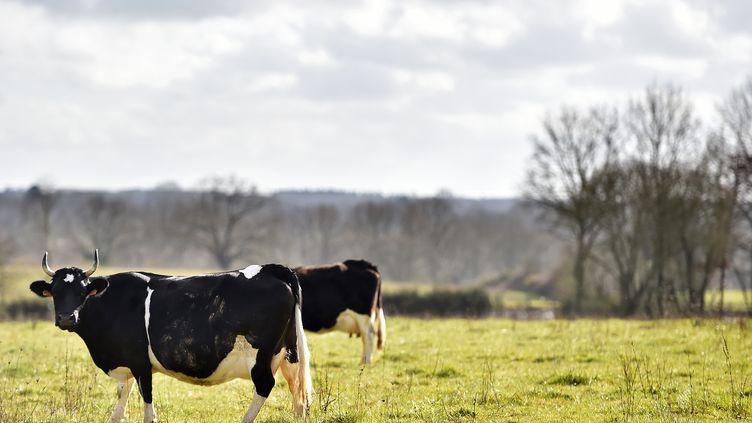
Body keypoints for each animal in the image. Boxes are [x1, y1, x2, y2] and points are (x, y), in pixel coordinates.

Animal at [29, 252, 312, 423]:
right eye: (55, 292)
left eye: (82, 292)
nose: (67, 318)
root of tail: (269, 269)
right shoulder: (125, 364)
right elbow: (120, 404)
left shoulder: (141, 364)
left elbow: (148, 407)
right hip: (289, 354)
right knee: (297, 396)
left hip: (260, 356)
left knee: (265, 385)